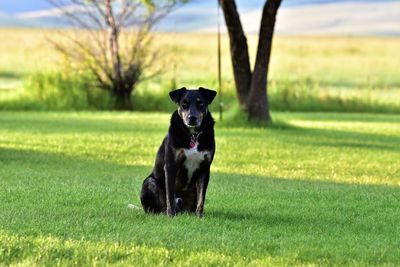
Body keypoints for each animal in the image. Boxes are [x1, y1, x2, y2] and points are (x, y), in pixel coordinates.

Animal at [140, 87, 216, 218]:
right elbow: (170, 195)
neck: (193, 135)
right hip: (149, 183)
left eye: (201, 103)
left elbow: (201, 198)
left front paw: (200, 216)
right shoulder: (171, 165)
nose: (192, 118)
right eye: (184, 104)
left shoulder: (205, 168)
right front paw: (171, 215)